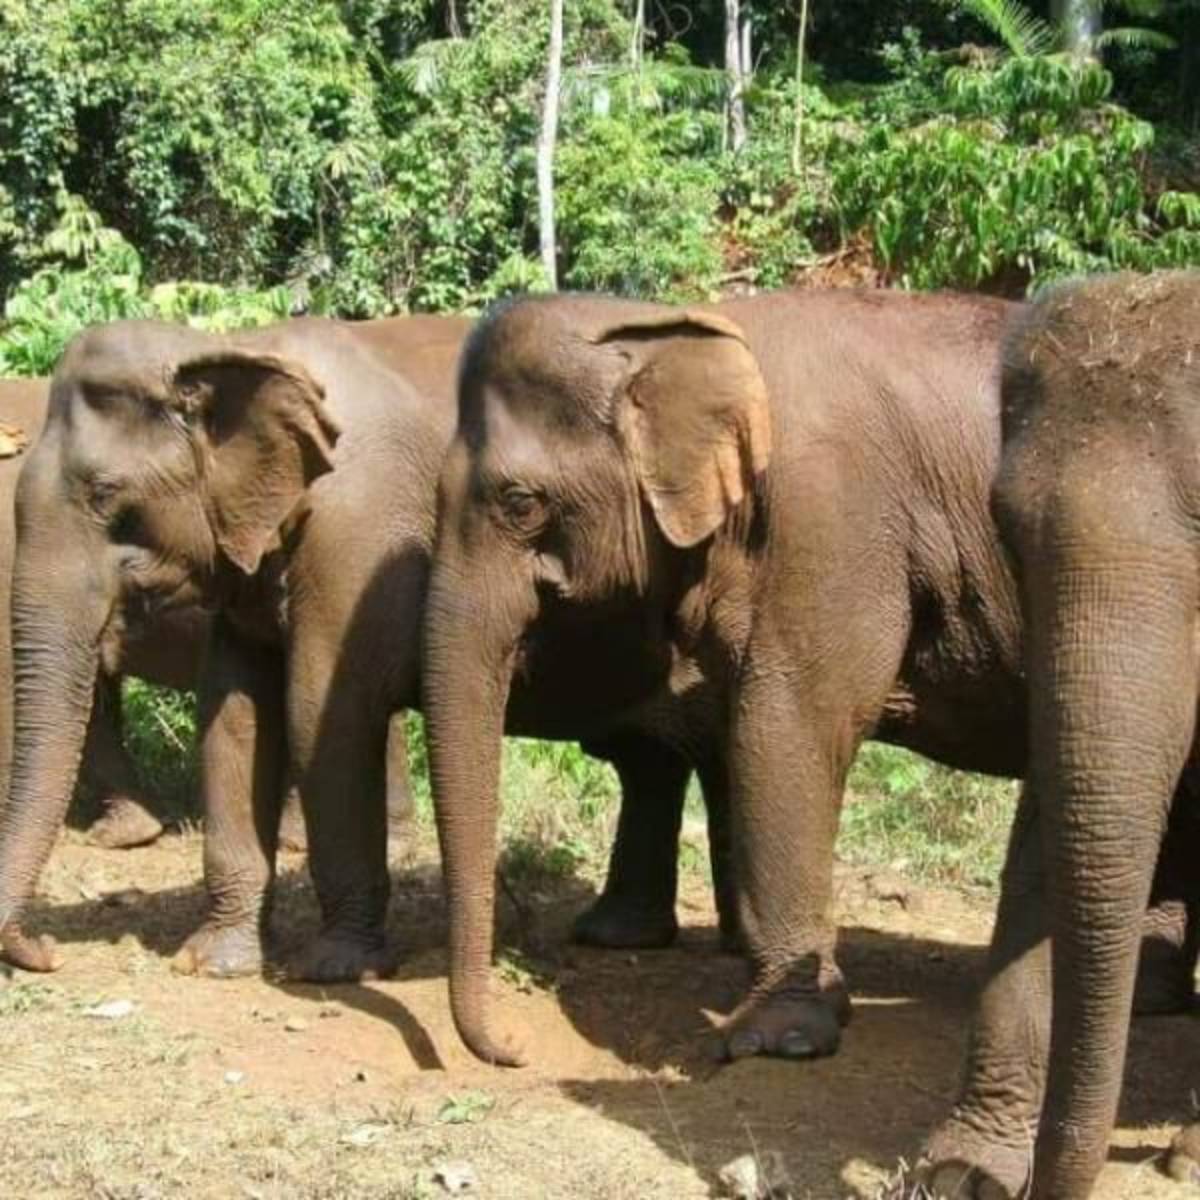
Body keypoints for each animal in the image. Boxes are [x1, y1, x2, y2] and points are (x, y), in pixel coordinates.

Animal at [0, 313, 733, 981]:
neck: (235, 346)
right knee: (653, 757)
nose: (46, 952)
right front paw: (211, 962)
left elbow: (322, 706)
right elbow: (235, 715)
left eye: (103, 494)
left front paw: (334, 967)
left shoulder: (358, 533)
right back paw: (629, 937)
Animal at [420, 288, 1200, 1068]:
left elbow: (788, 725)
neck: (681, 325)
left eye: (521, 503)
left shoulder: (832, 517)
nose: (514, 1048)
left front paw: (775, 1039)